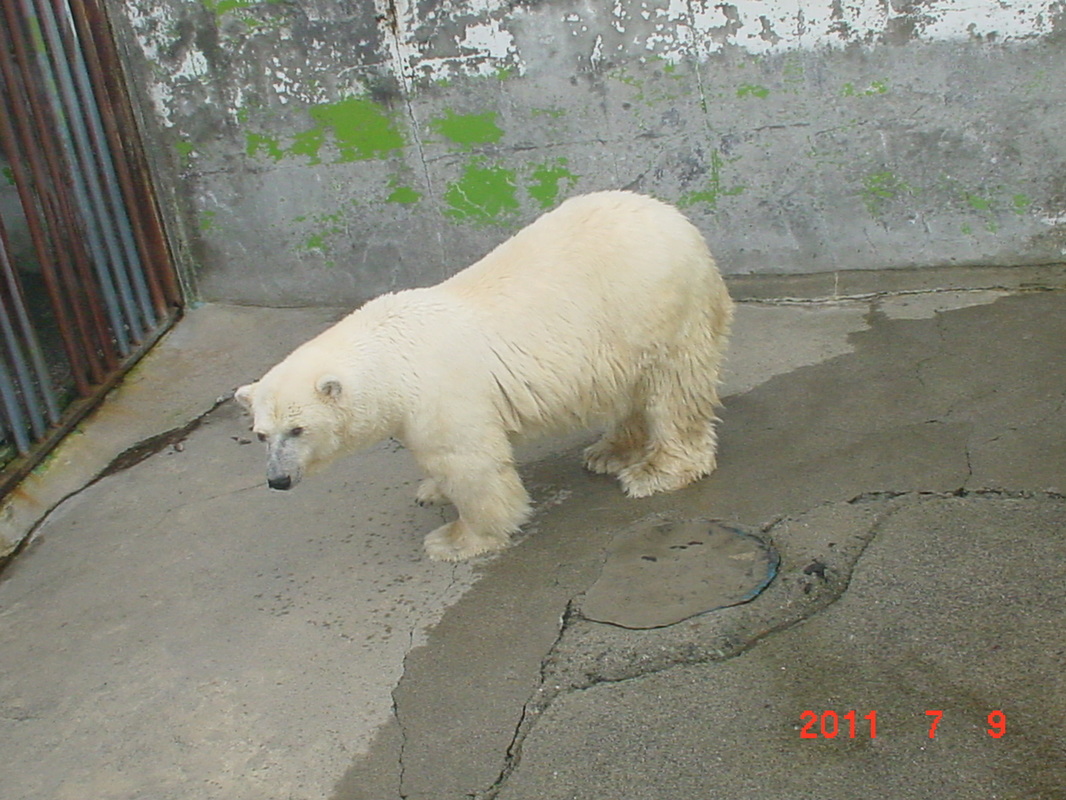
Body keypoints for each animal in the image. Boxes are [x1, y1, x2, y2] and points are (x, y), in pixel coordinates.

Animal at [235, 189, 733, 558]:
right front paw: (430, 491)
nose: (277, 480)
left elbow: (468, 465)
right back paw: (609, 451)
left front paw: (453, 539)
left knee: (674, 389)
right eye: (261, 434)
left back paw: (654, 471)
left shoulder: (439, 396)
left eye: (298, 429)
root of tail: (678, 221)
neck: (389, 352)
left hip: (655, 309)